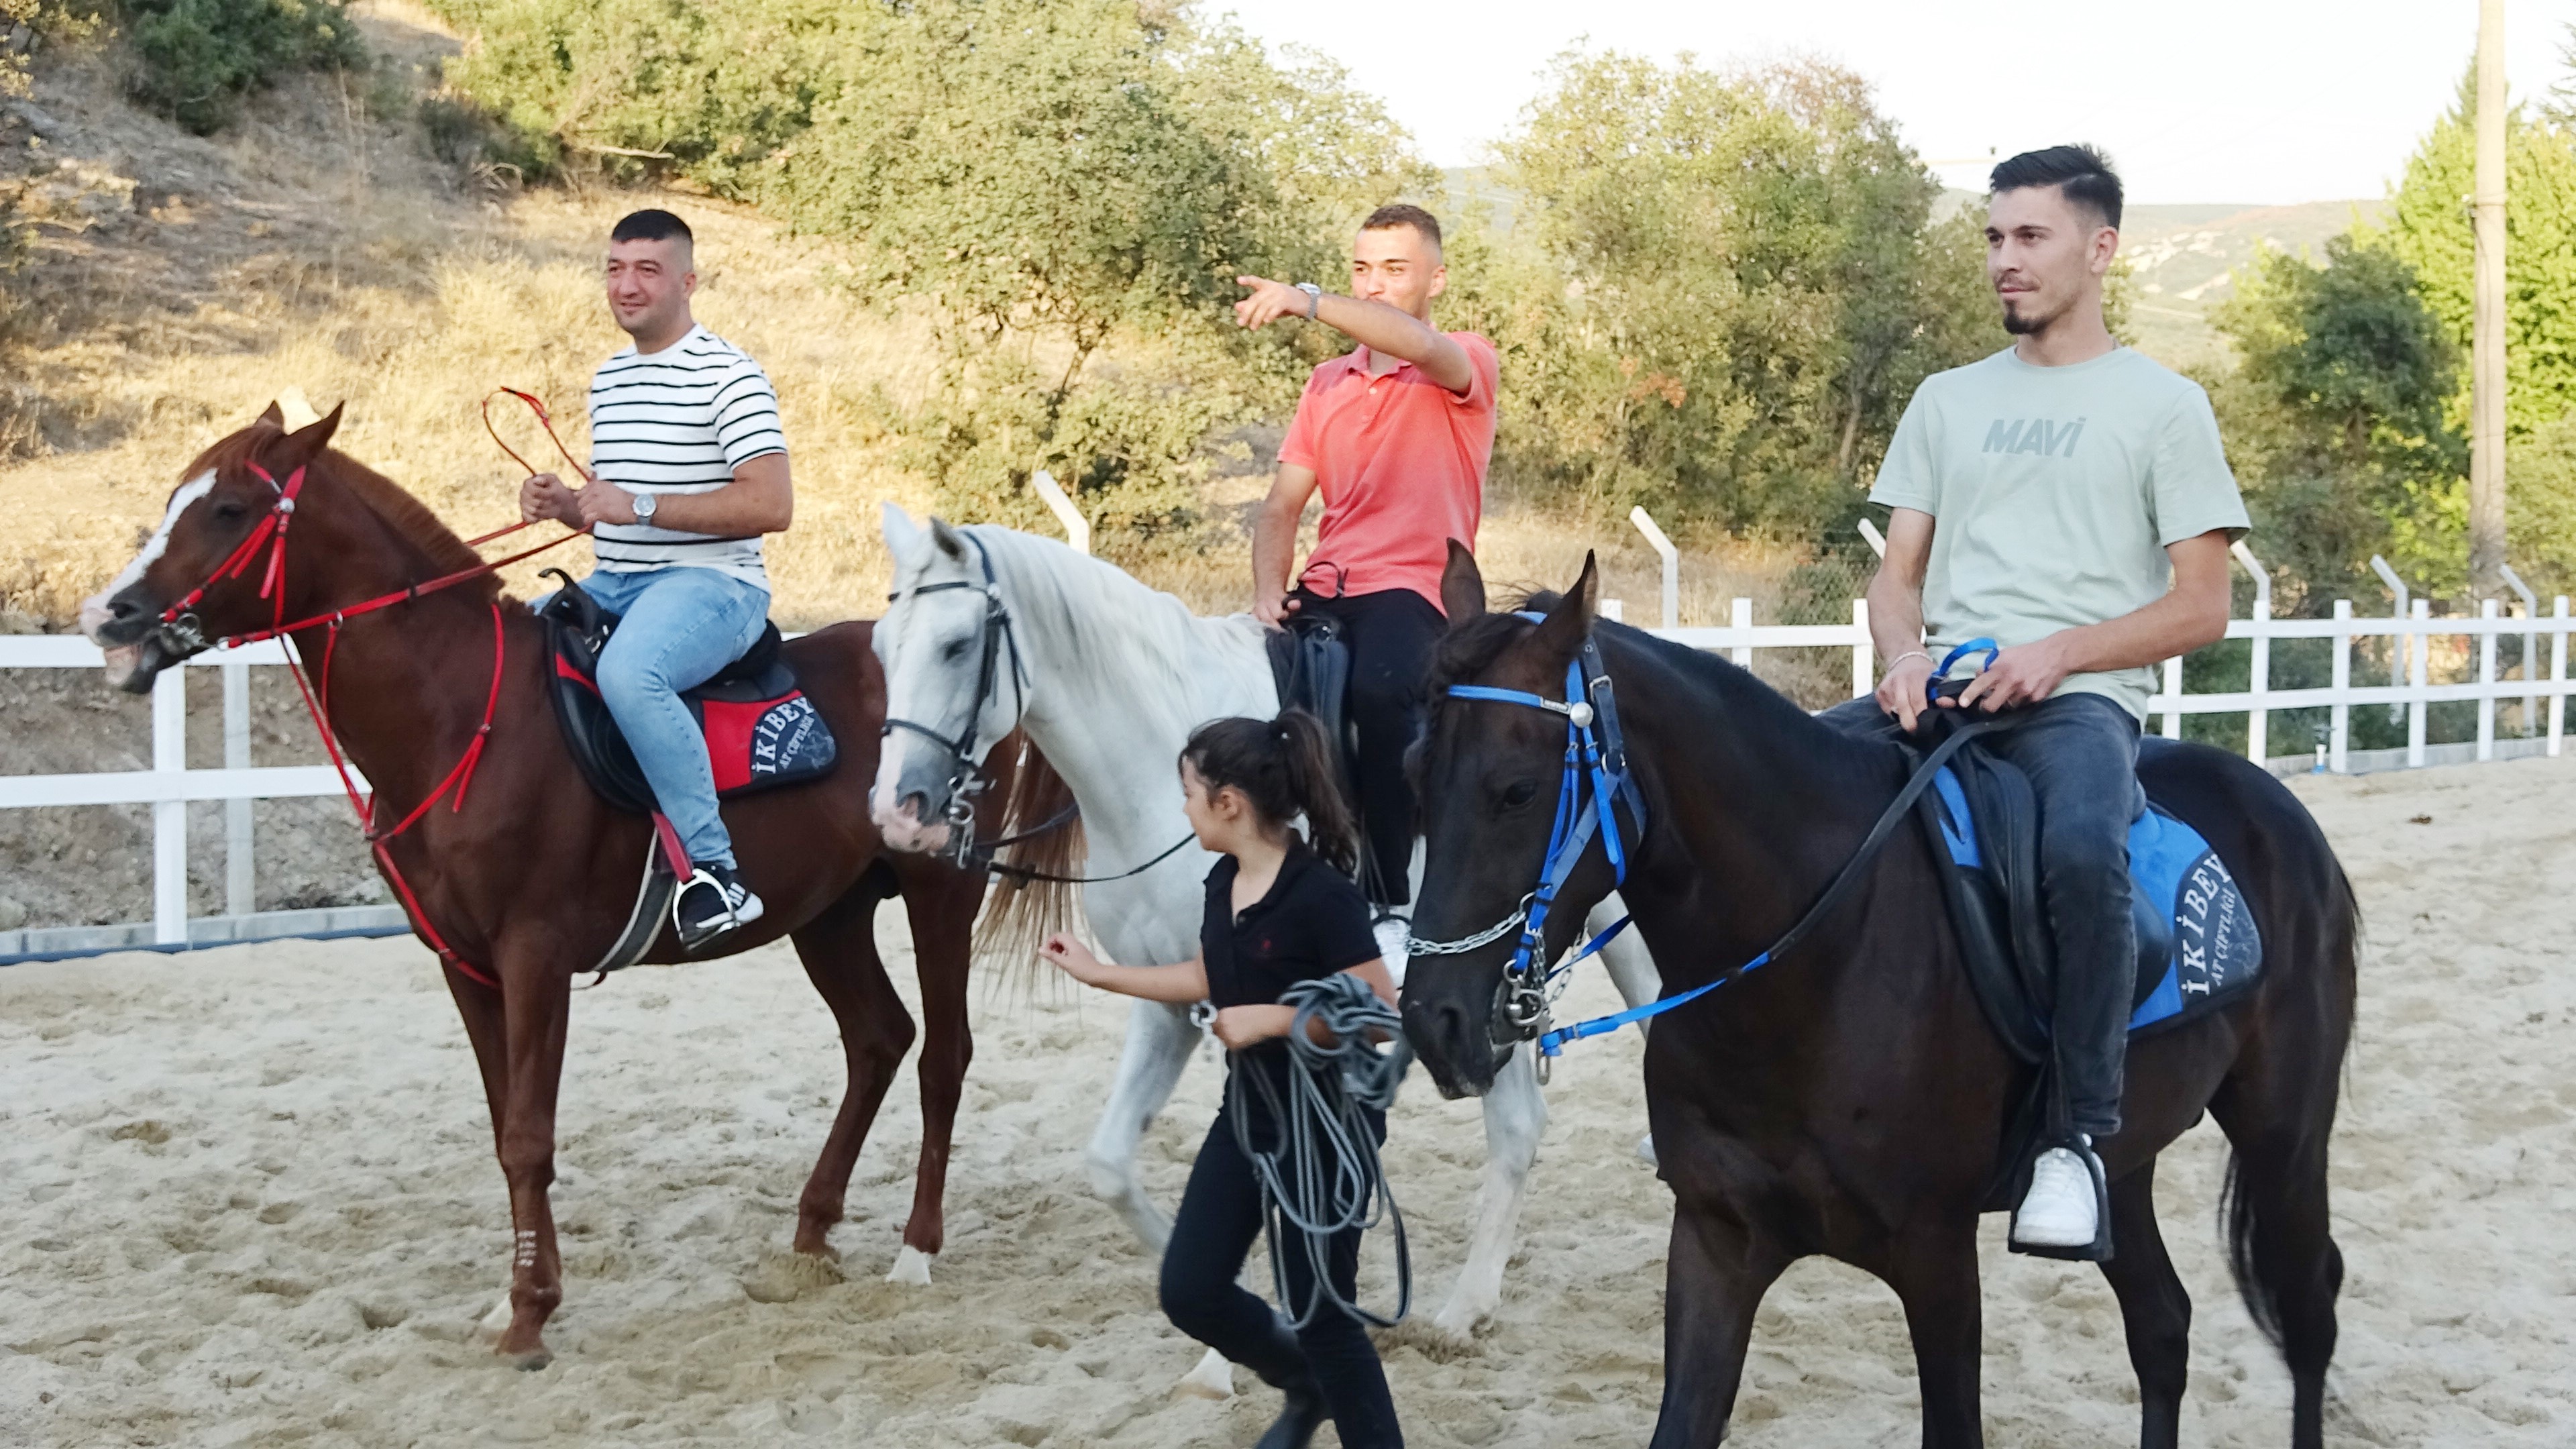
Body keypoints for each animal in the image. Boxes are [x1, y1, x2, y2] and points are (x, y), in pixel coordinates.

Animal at [80, 407, 1046, 1361]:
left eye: (230, 510)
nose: (109, 614)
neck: (461, 718)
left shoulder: (534, 957)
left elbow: (527, 1138)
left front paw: (530, 1313)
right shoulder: (465, 964)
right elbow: (505, 1123)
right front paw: (512, 1300)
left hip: (940, 892)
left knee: (944, 1055)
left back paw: (916, 1252)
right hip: (829, 914)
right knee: (879, 1040)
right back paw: (811, 1233)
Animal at [865, 508, 1669, 1340]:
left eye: (957, 645)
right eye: (882, 648)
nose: (897, 810)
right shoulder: (1169, 999)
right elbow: (1112, 1164)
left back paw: (1464, 1308)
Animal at [1401, 543, 2359, 1444]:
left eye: (1516, 791)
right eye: (1413, 770)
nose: (1432, 1021)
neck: (1809, 971)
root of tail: (2276, 807)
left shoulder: (1937, 1260)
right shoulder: (1715, 1240)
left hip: (2285, 1133)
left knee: (2309, 1314)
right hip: (2121, 1163)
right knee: (2162, 1327)